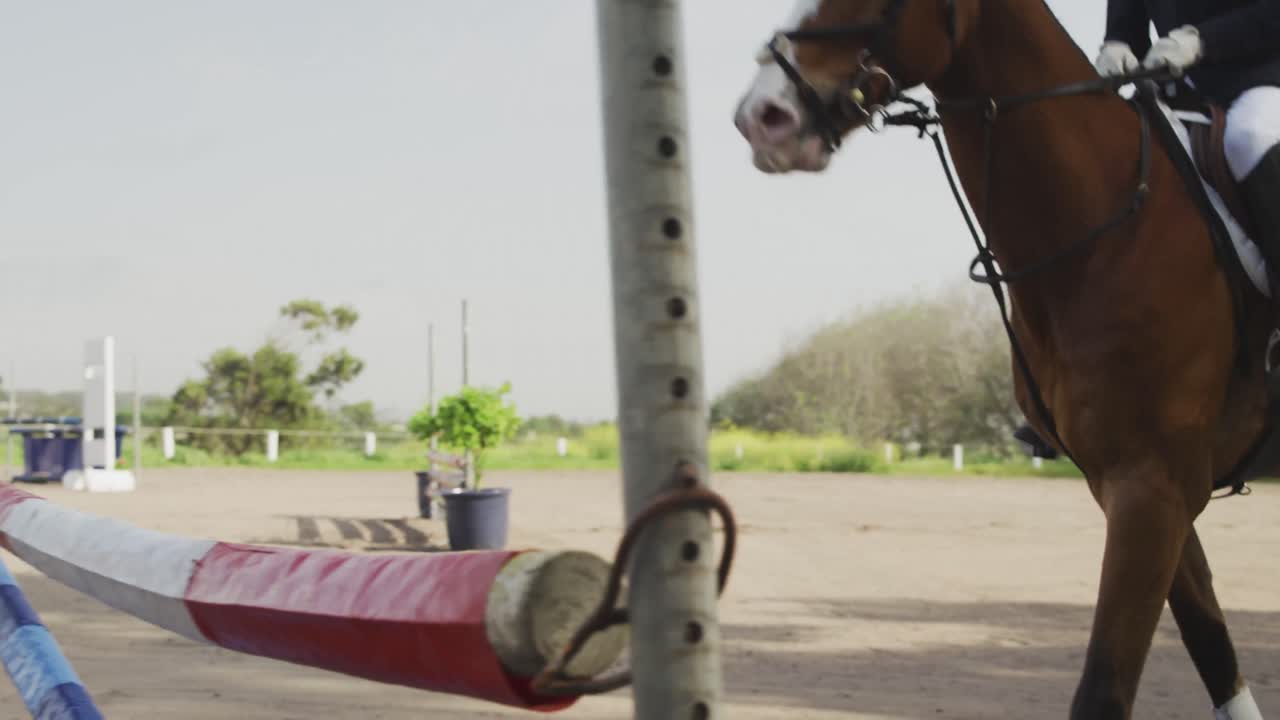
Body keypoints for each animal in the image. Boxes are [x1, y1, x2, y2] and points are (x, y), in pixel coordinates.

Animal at [733, 2, 1275, 718]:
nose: (762, 117)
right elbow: (1214, 650)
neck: (1107, 230)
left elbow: (1104, 689)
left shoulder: (1152, 487)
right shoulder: (1138, 485)